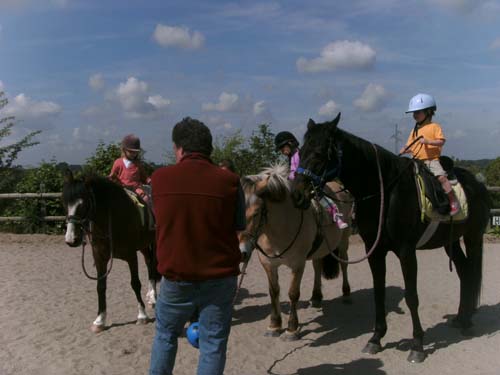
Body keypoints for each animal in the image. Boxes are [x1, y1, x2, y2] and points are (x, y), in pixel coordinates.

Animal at [62, 172, 160, 334]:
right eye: (64, 203)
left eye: (83, 204)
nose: (71, 239)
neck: (113, 219)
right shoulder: (99, 257)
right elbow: (100, 287)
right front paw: (99, 320)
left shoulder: (131, 255)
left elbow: (135, 283)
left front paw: (142, 315)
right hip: (144, 246)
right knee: (148, 263)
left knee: (152, 266)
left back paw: (153, 297)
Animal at [238, 164, 352, 340]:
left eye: (256, 213)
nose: (242, 252)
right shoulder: (269, 264)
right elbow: (273, 292)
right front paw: (274, 325)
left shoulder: (297, 264)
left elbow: (293, 293)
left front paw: (292, 328)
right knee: (317, 266)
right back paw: (316, 297)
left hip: (343, 242)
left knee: (344, 264)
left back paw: (346, 293)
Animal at [292, 113, 490, 362]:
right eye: (301, 151)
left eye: (319, 153)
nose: (297, 194)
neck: (386, 192)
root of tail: (478, 185)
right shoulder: (375, 250)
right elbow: (379, 293)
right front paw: (376, 338)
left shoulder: (406, 252)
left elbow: (411, 296)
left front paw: (417, 345)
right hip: (451, 242)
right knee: (464, 272)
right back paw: (461, 318)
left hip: (473, 237)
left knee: (471, 273)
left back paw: (466, 322)